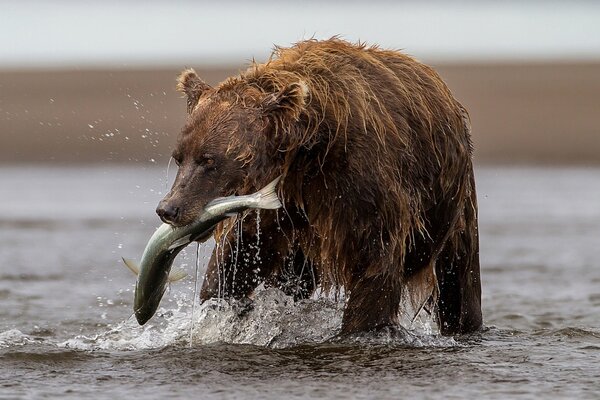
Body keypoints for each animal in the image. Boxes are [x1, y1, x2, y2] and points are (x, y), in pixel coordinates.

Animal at [156, 39, 482, 336]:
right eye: (179, 157)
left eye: (209, 160)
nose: (169, 208)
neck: (307, 149)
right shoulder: (278, 200)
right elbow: (239, 255)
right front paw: (219, 306)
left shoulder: (362, 185)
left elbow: (375, 264)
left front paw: (361, 328)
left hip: (452, 205)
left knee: (459, 281)